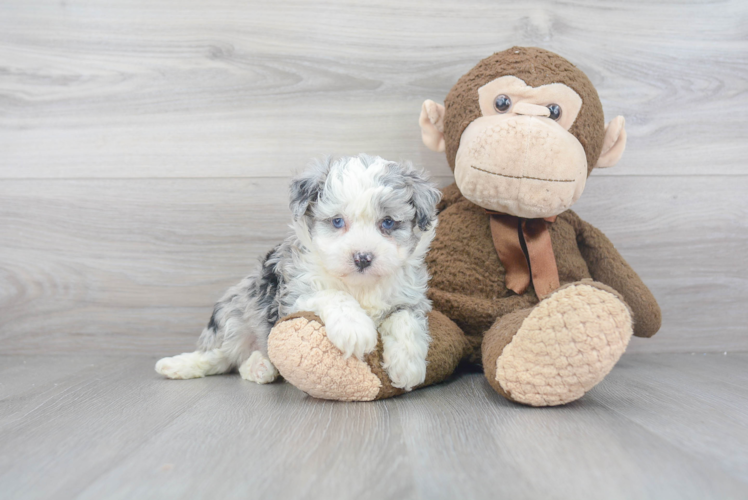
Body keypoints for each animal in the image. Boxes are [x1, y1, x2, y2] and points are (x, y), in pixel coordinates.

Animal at [155, 155, 442, 390]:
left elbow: (405, 320)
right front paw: (355, 329)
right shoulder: (294, 296)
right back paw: (177, 365)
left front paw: (407, 367)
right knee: (221, 356)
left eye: (388, 223)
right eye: (337, 221)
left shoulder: (410, 299)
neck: (359, 285)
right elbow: (332, 295)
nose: (362, 258)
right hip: (236, 311)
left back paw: (260, 367)